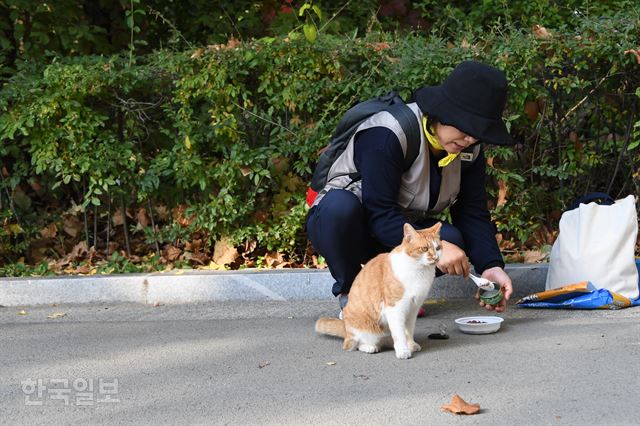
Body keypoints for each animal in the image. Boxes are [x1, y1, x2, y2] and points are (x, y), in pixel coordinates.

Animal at [316, 223, 440, 360]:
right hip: (360, 328)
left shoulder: (413, 308)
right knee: (353, 344)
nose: (435, 257)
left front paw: (411, 344)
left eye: (438, 248)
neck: (419, 271)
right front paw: (403, 350)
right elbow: (399, 333)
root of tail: (345, 327)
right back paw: (369, 347)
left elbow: (408, 330)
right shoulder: (395, 308)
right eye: (424, 248)